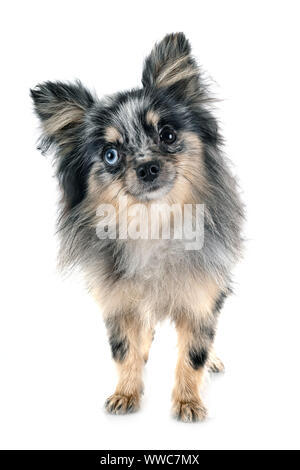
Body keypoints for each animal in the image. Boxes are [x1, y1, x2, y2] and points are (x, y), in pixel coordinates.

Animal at [30, 33, 244, 422]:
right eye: (111, 155)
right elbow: (124, 349)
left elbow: (194, 353)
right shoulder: (118, 302)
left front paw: (188, 401)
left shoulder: (202, 295)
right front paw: (126, 393)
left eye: (168, 135)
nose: (146, 168)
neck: (152, 222)